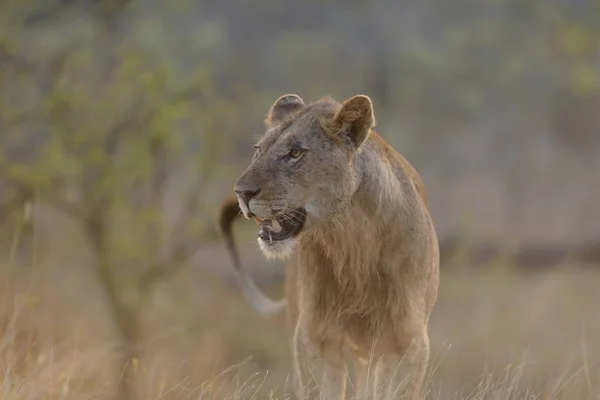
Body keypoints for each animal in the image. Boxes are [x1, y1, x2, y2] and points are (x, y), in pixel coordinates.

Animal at [220, 94, 440, 400]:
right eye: (259, 150)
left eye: (295, 153)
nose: (241, 192)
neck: (352, 240)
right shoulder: (314, 337)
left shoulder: (407, 344)